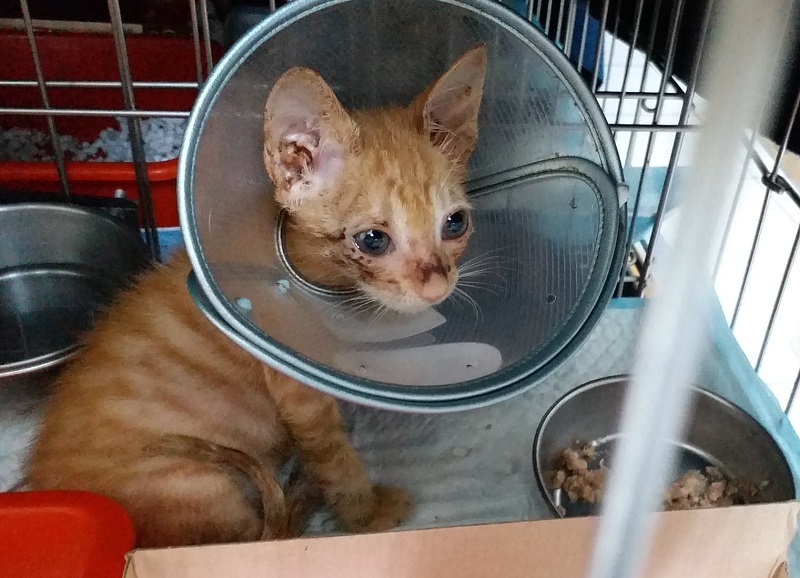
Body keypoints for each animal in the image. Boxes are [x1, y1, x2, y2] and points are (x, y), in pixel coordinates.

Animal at [24, 44, 487, 548]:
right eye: (373, 240)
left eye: (455, 223)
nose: (438, 285)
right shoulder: (298, 390)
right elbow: (337, 462)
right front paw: (365, 517)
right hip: (199, 483)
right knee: (262, 534)